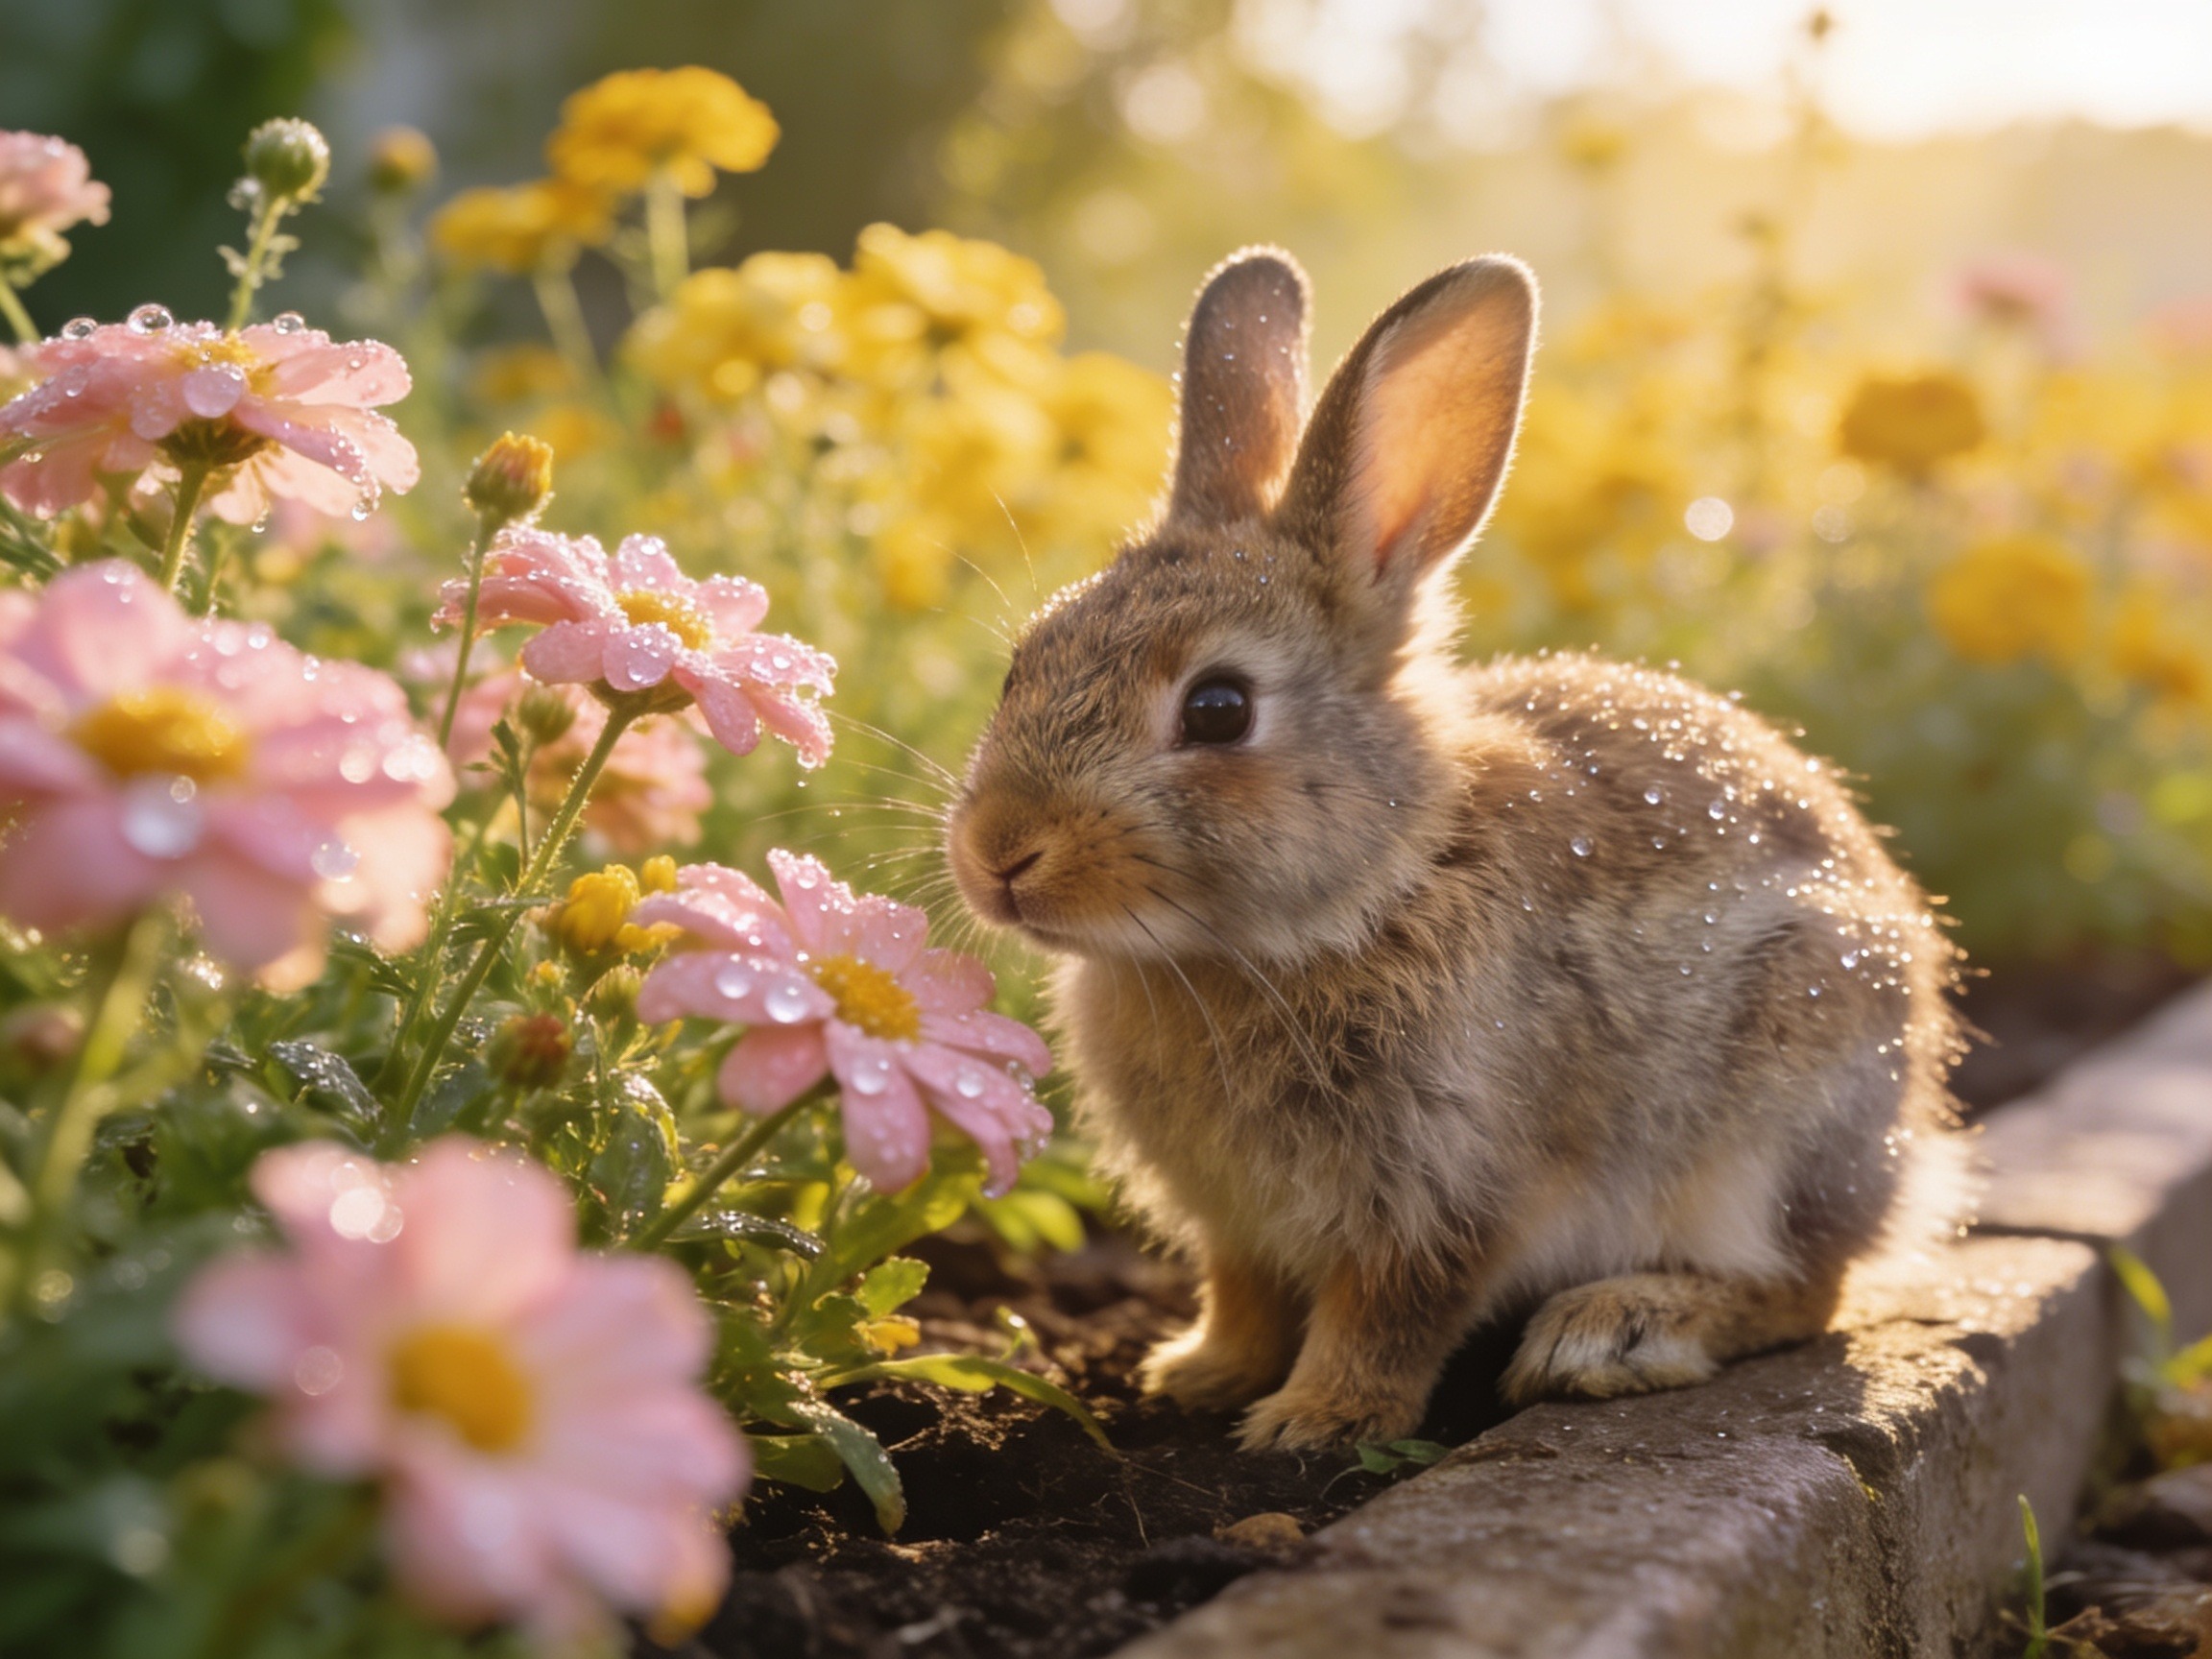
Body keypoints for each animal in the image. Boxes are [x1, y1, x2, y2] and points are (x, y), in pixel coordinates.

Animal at [944, 247, 1969, 1452]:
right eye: (1023, 661)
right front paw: (1198, 1375)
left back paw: (1616, 1331)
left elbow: (1392, 1309)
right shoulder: (1237, 1220)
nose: (999, 853)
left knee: (1805, 1286)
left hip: (1778, 1118)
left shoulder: (1452, 1185)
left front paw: (1314, 1420)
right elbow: (1244, 1292)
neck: (1373, 890)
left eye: (1218, 709)